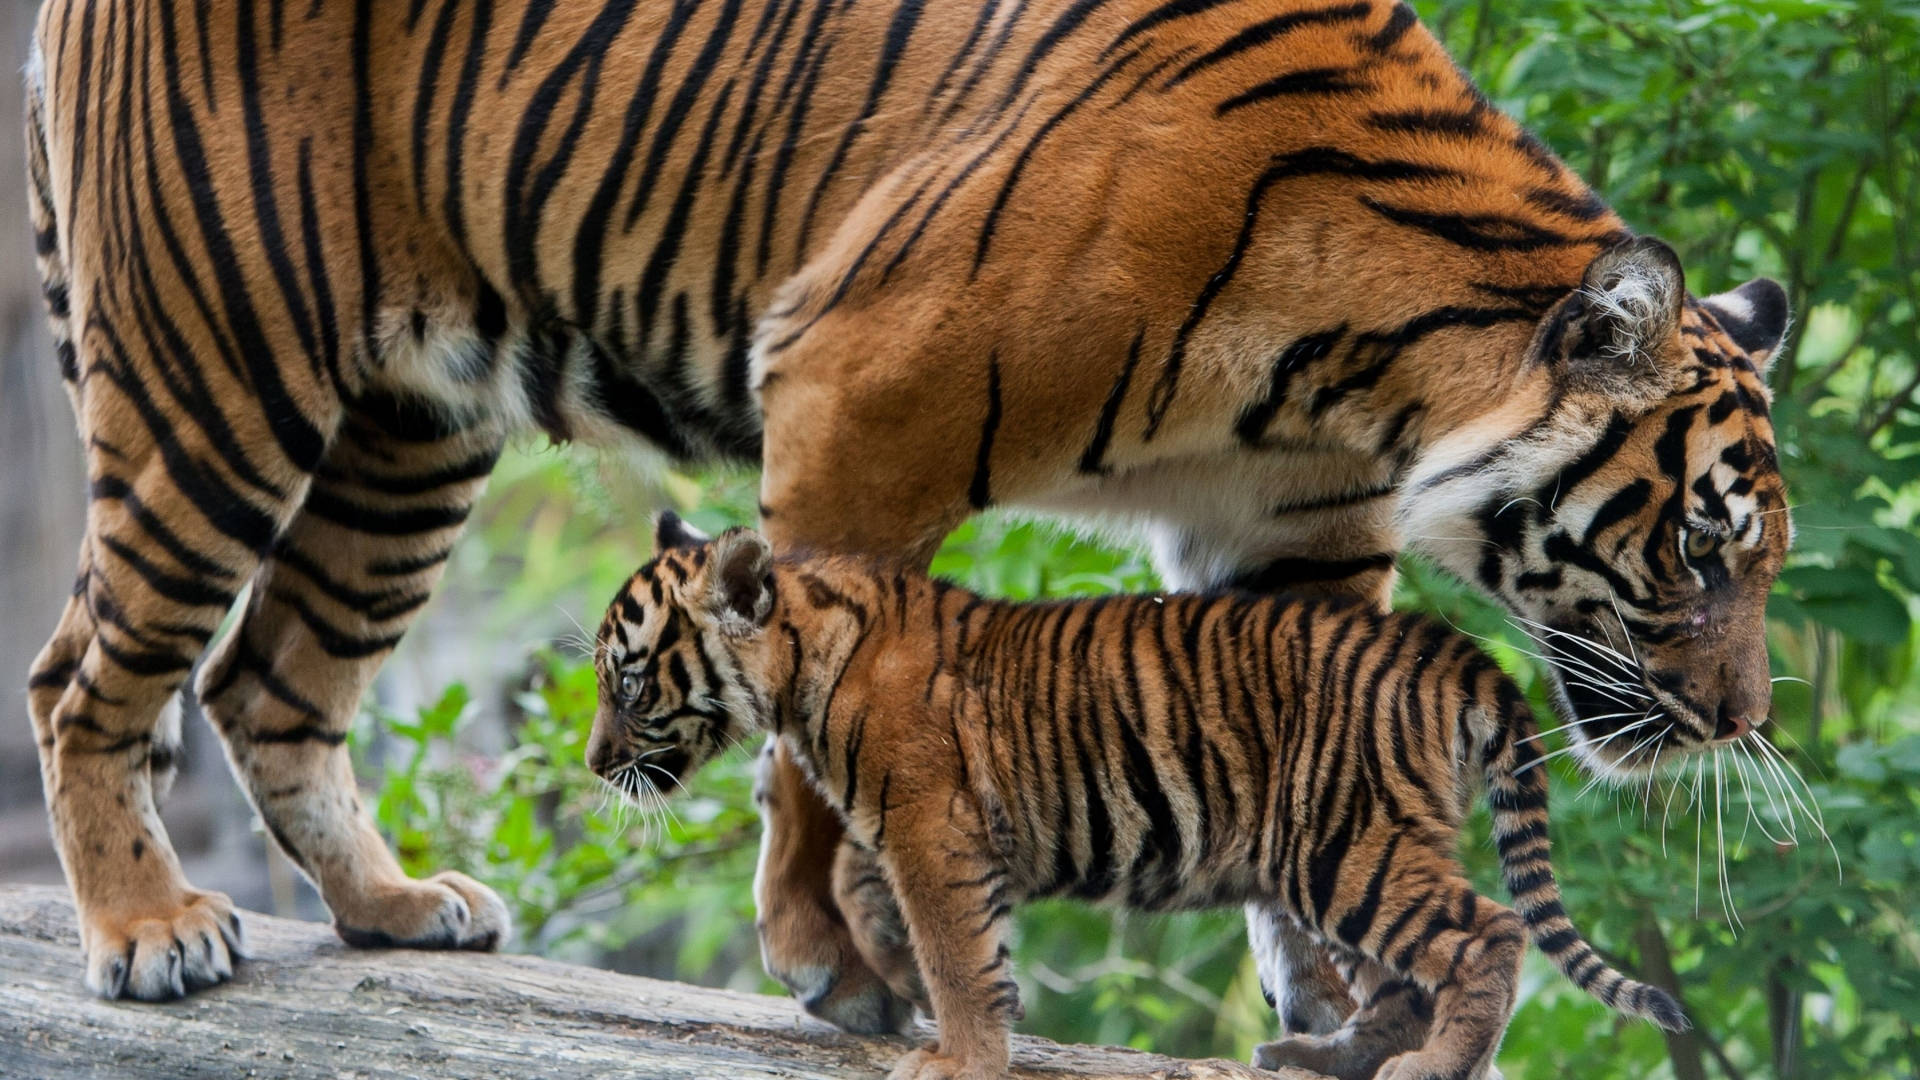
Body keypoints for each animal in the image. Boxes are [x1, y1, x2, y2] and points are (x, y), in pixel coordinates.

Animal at [586, 515, 1691, 1080]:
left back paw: (1431, 1068)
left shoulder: (931, 829)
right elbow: (892, 907)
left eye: (628, 685)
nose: (596, 763)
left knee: (1485, 933)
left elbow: (957, 952)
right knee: (1398, 979)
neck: (804, 657)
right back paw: (1320, 1056)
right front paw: (890, 979)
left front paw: (958, 1055)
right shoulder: (915, 828)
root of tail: (1450, 649)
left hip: (1344, 845)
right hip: (1334, 855)